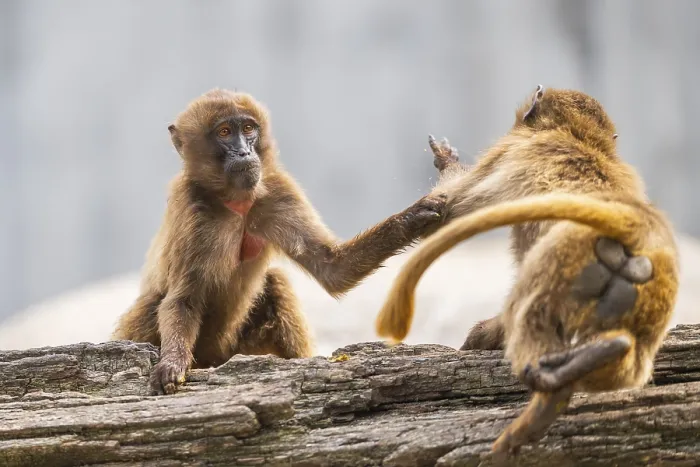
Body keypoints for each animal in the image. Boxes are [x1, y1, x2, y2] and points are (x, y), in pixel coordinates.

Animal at [112, 88, 447, 396]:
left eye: (248, 129)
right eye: (224, 132)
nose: (244, 153)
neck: (236, 202)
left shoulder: (276, 191)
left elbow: (334, 268)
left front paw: (416, 214)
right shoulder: (192, 209)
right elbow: (183, 299)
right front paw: (172, 362)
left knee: (275, 281)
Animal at [374, 86, 679, 460]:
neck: (579, 138)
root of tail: (629, 232)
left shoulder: (508, 150)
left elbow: (447, 209)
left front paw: (445, 164)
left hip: (562, 261)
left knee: (528, 309)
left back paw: (549, 391)